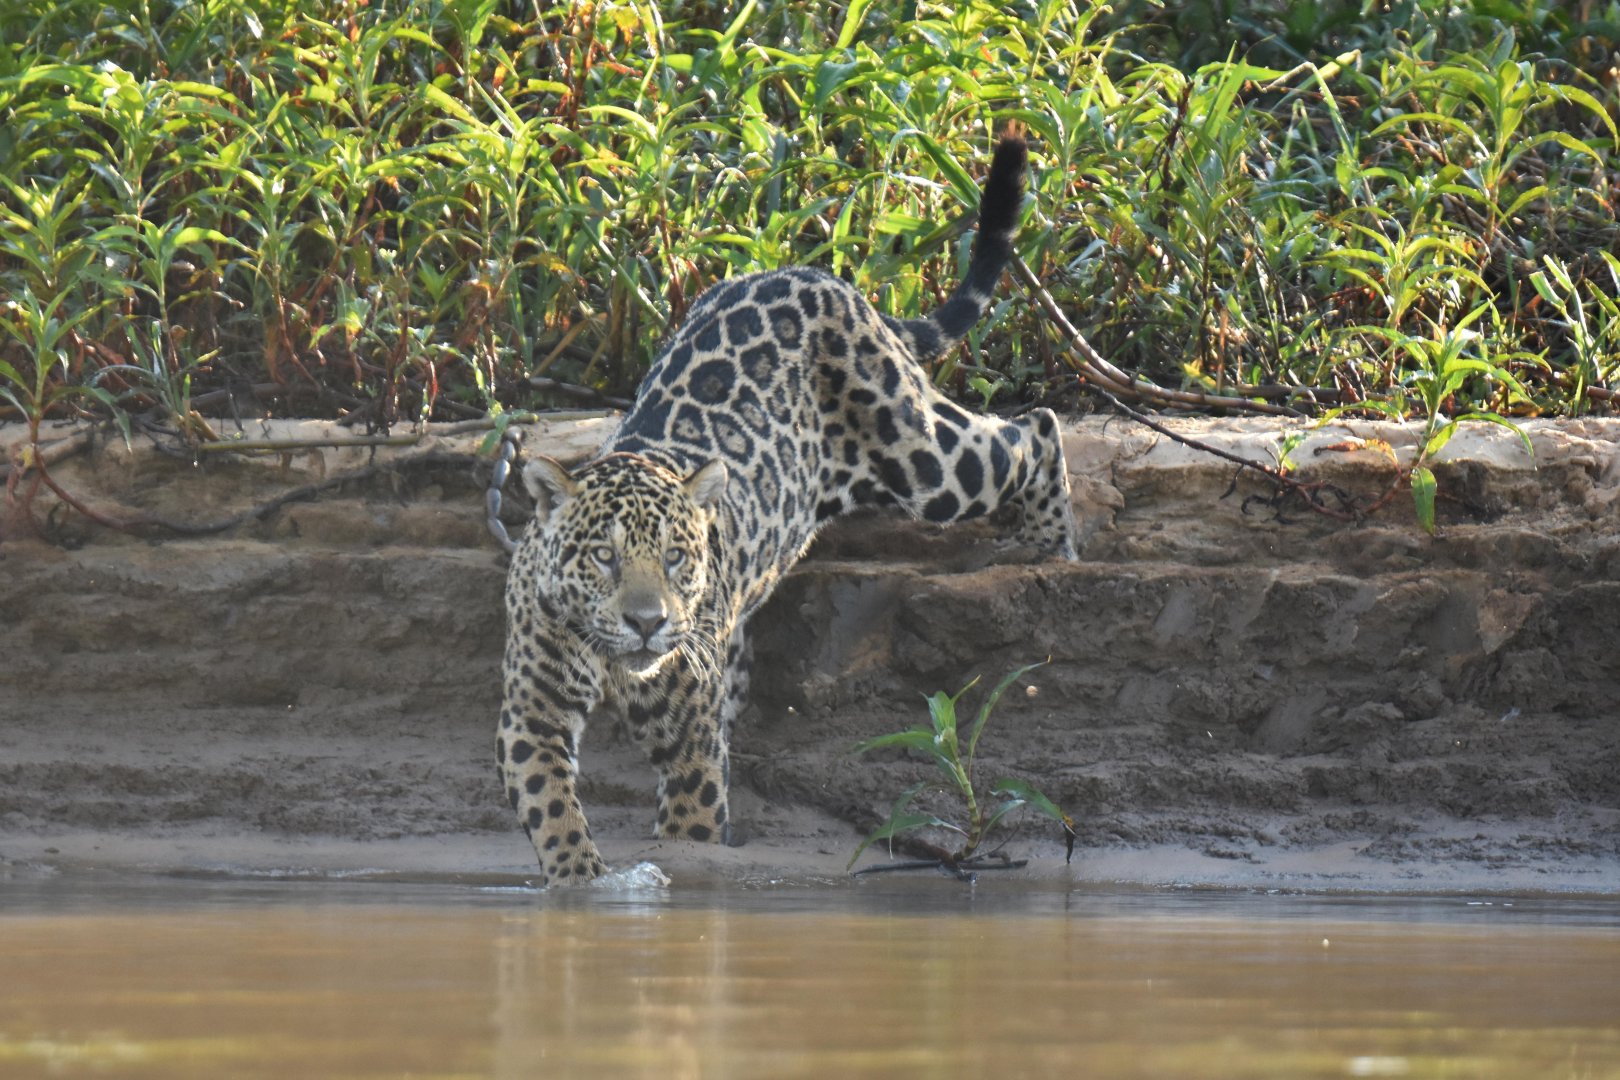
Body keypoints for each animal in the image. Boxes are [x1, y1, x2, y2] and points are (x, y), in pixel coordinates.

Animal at [495, 134, 1078, 884]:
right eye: (603, 556)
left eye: (676, 557)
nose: (648, 623)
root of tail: (826, 279)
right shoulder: (531, 713)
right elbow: (551, 805)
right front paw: (578, 880)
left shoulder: (689, 740)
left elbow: (690, 825)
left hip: (926, 458)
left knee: (1032, 428)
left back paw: (1054, 545)